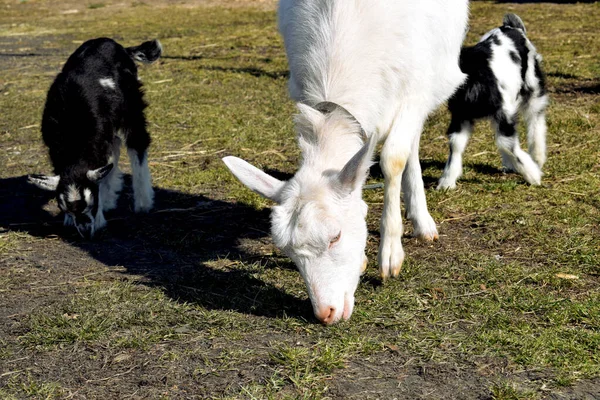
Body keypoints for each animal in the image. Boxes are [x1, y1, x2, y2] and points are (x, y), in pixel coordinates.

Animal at [221, 0, 468, 324]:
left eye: (335, 237)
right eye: (287, 251)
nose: (325, 312)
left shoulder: (415, 88)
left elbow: (392, 159)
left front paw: (390, 254)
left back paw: (422, 221)